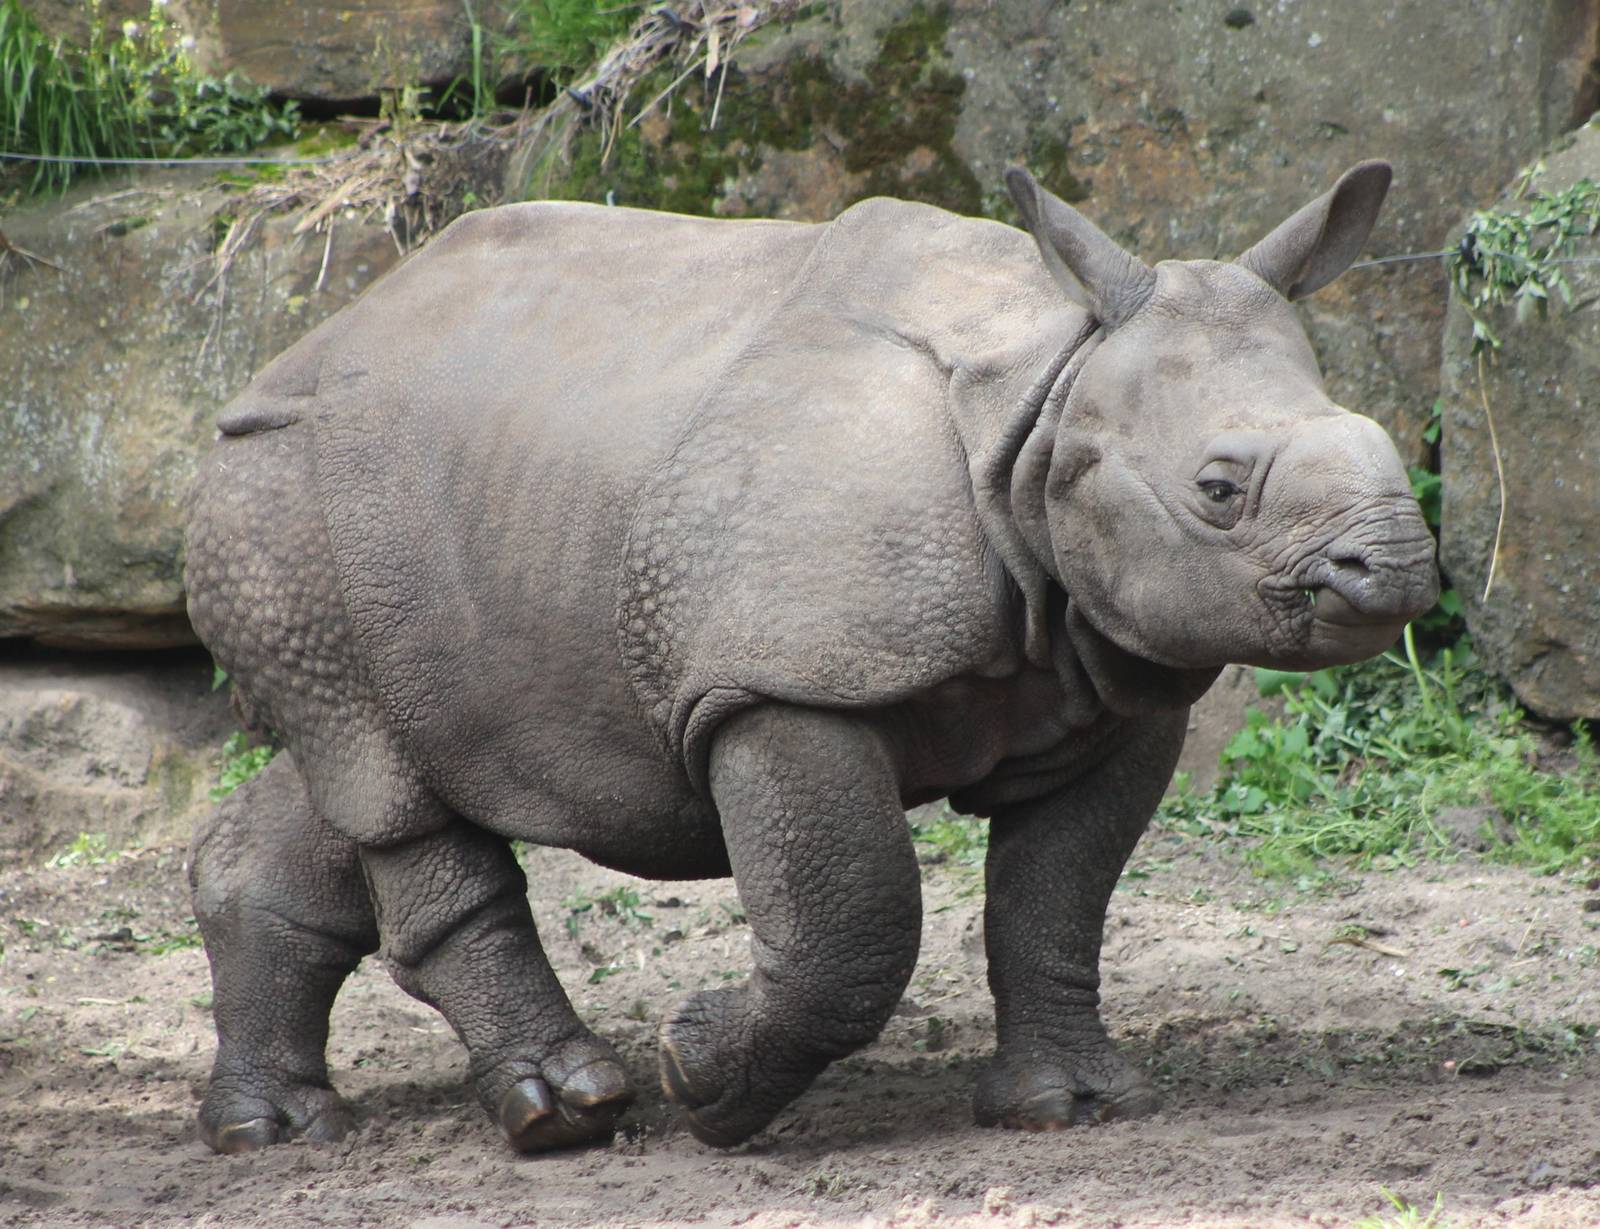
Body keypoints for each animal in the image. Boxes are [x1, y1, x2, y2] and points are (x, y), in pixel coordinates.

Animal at [184, 159, 1438, 1155]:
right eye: (1218, 490)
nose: (1395, 569)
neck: (1046, 396)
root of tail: (281, 357)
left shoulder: (1107, 681)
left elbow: (1059, 895)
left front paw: (1073, 1106)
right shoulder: (773, 677)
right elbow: (854, 922)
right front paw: (700, 1075)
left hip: (369, 519)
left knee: (361, 760)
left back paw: (274, 1128)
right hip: (283, 488)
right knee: (382, 774)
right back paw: (568, 1111)